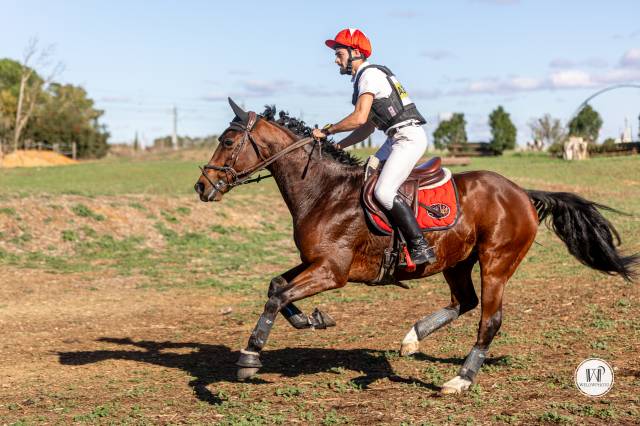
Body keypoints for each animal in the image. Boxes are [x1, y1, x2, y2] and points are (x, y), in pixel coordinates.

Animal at [194, 98, 638, 394]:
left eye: (229, 141)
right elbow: (276, 287)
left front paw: (250, 357)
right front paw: (313, 320)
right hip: (457, 261)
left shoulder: (332, 272)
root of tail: (522, 194)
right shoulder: (315, 262)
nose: (201, 186)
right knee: (465, 302)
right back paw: (412, 338)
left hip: (496, 261)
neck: (323, 191)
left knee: (488, 319)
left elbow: (277, 296)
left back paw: (460, 379)